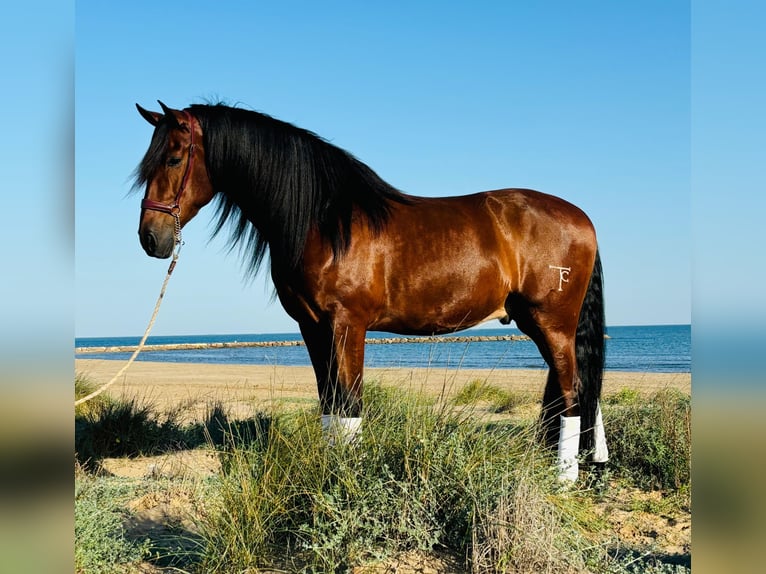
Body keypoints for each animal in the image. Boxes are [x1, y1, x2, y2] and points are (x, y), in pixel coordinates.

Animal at [134, 100, 612, 482]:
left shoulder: (348, 325)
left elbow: (349, 405)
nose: (150, 238)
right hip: (543, 326)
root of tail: (584, 219)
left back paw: (564, 478)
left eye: (173, 158)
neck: (323, 221)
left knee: (572, 394)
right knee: (572, 391)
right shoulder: (312, 327)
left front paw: (350, 479)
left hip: (552, 324)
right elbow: (329, 403)